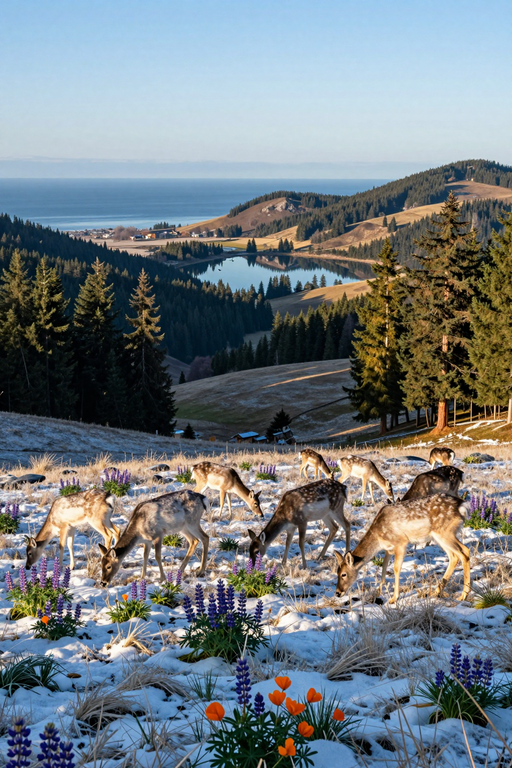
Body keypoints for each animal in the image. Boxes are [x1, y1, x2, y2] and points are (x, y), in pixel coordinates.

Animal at [334, 493, 470, 604]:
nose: (337, 593)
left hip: (444, 532)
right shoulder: (388, 548)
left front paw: (394, 598)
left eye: (343, 574)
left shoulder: (400, 542)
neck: (378, 537)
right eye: (337, 572)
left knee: (464, 553)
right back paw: (436, 592)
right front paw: (379, 591)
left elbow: (396, 568)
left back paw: (463, 595)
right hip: (442, 536)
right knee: (456, 555)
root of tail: (462, 506)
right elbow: (384, 567)